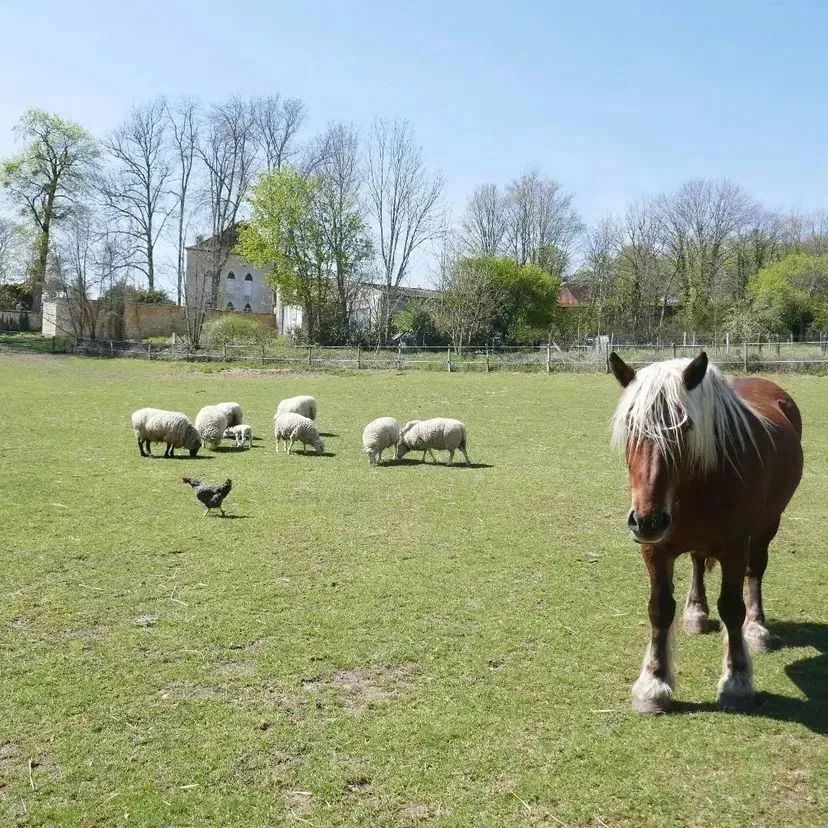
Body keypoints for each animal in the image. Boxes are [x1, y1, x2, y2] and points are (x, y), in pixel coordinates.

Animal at [608, 350, 804, 712]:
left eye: (685, 426)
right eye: (630, 425)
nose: (647, 521)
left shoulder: (734, 547)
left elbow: (732, 607)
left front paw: (737, 680)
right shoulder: (655, 550)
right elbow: (659, 609)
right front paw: (653, 683)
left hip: (768, 526)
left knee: (755, 572)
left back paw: (756, 629)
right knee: (698, 561)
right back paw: (696, 612)